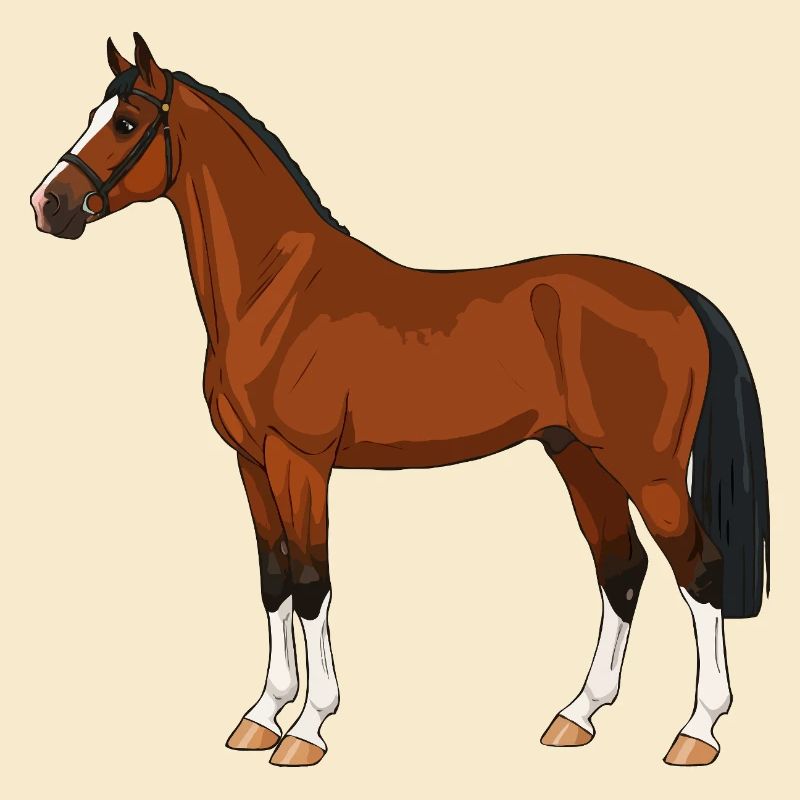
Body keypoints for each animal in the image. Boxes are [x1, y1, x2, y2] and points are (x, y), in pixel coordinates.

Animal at [30, 33, 769, 768]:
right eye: (93, 115)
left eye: (126, 124)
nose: (47, 205)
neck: (275, 292)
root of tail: (679, 294)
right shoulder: (250, 463)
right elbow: (273, 581)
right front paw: (261, 716)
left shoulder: (301, 462)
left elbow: (311, 583)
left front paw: (307, 729)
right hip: (578, 457)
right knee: (622, 569)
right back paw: (577, 716)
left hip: (647, 467)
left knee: (699, 570)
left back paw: (696, 732)